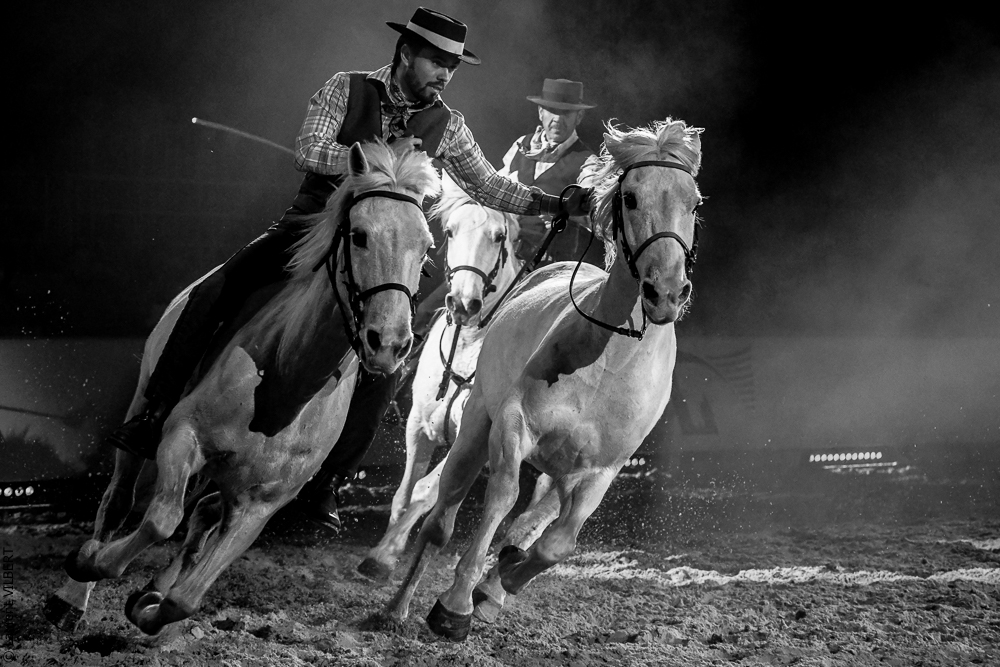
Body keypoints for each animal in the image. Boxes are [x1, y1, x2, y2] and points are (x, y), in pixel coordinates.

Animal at [43, 141, 440, 635]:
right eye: (360, 235)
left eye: (426, 248)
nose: (388, 343)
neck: (287, 383)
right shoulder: (183, 437)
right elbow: (160, 520)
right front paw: (92, 562)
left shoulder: (261, 505)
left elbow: (187, 598)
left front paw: (150, 605)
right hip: (142, 407)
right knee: (119, 501)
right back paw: (71, 597)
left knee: (203, 514)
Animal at [357, 173, 527, 581]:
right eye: (450, 231)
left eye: (499, 236)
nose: (463, 303)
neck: (468, 345)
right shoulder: (418, 423)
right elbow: (404, 494)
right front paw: (385, 551)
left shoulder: (471, 439)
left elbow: (425, 490)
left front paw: (383, 556)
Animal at [380, 118, 704, 642]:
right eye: (631, 197)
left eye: (692, 202)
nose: (667, 292)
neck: (611, 359)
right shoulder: (510, 427)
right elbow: (495, 498)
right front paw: (455, 604)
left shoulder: (604, 468)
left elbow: (557, 543)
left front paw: (501, 580)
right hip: (475, 430)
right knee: (440, 518)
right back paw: (398, 604)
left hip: (558, 468)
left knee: (530, 521)